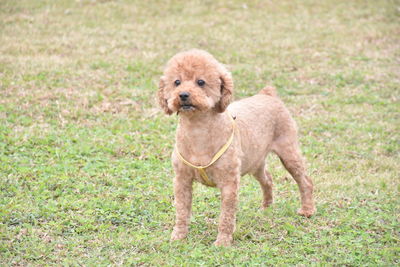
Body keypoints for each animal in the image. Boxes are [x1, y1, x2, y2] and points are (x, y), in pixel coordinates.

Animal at [157, 50, 316, 247]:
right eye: (176, 82)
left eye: (200, 82)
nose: (183, 95)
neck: (198, 130)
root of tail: (269, 95)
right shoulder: (181, 180)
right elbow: (181, 211)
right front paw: (178, 237)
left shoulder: (229, 182)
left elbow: (226, 216)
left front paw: (223, 242)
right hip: (255, 161)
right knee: (268, 179)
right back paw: (266, 207)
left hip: (288, 151)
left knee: (305, 181)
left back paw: (307, 210)